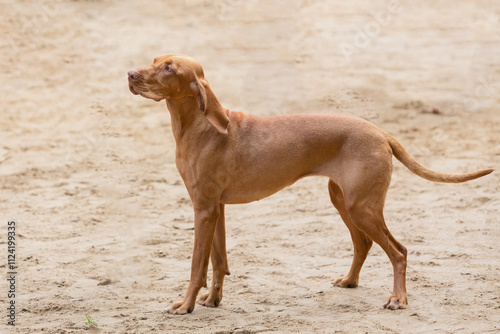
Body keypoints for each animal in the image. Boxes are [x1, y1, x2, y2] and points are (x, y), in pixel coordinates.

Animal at [128, 53, 492, 314]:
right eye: (155, 59)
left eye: (169, 68)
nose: (130, 74)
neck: (198, 127)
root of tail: (380, 132)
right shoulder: (216, 208)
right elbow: (219, 262)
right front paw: (212, 300)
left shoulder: (203, 209)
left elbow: (196, 266)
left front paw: (186, 304)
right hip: (343, 200)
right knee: (363, 244)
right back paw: (350, 281)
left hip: (362, 207)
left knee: (398, 251)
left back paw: (398, 299)